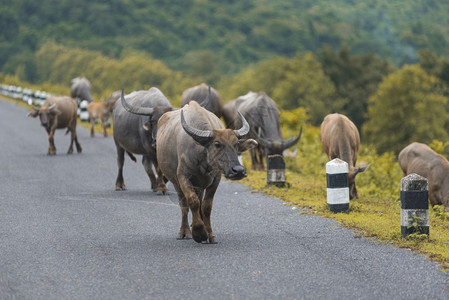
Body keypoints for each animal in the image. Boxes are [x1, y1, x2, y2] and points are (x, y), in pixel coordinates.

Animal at [157, 101, 256, 244]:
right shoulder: (183, 177)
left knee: (200, 202)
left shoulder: (215, 179)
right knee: (184, 205)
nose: (238, 171)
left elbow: (206, 206)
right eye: (217, 144)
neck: (203, 161)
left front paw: (209, 234)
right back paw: (185, 231)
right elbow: (192, 201)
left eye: (236, 143)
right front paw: (199, 232)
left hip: (200, 185)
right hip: (176, 182)